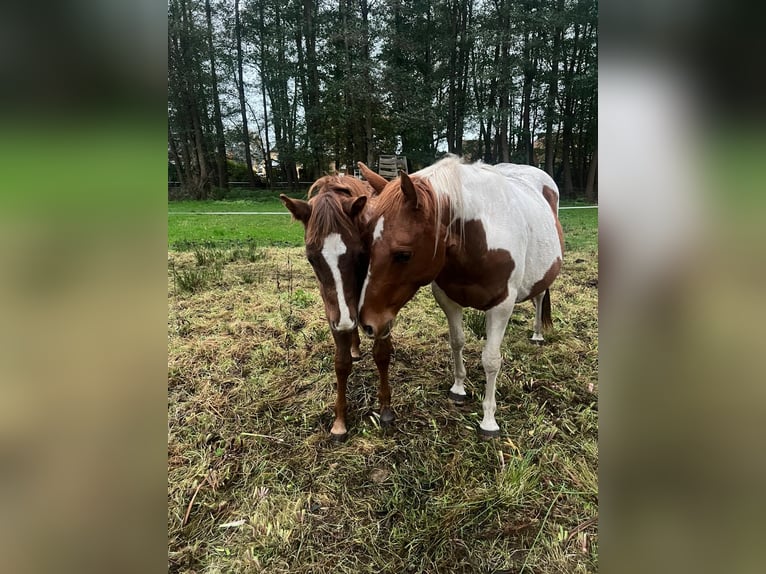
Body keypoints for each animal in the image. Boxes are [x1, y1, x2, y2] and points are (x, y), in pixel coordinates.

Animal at [280, 171, 392, 440]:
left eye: (360, 253)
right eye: (311, 258)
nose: (345, 321)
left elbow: (382, 354)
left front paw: (385, 408)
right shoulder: (333, 312)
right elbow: (341, 364)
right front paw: (339, 421)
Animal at [358, 155, 564, 438]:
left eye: (403, 254)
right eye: (367, 243)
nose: (367, 323)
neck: (479, 239)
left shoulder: (501, 306)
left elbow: (491, 360)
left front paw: (489, 420)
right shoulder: (448, 299)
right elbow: (457, 341)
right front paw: (458, 389)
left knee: (540, 297)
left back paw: (537, 334)